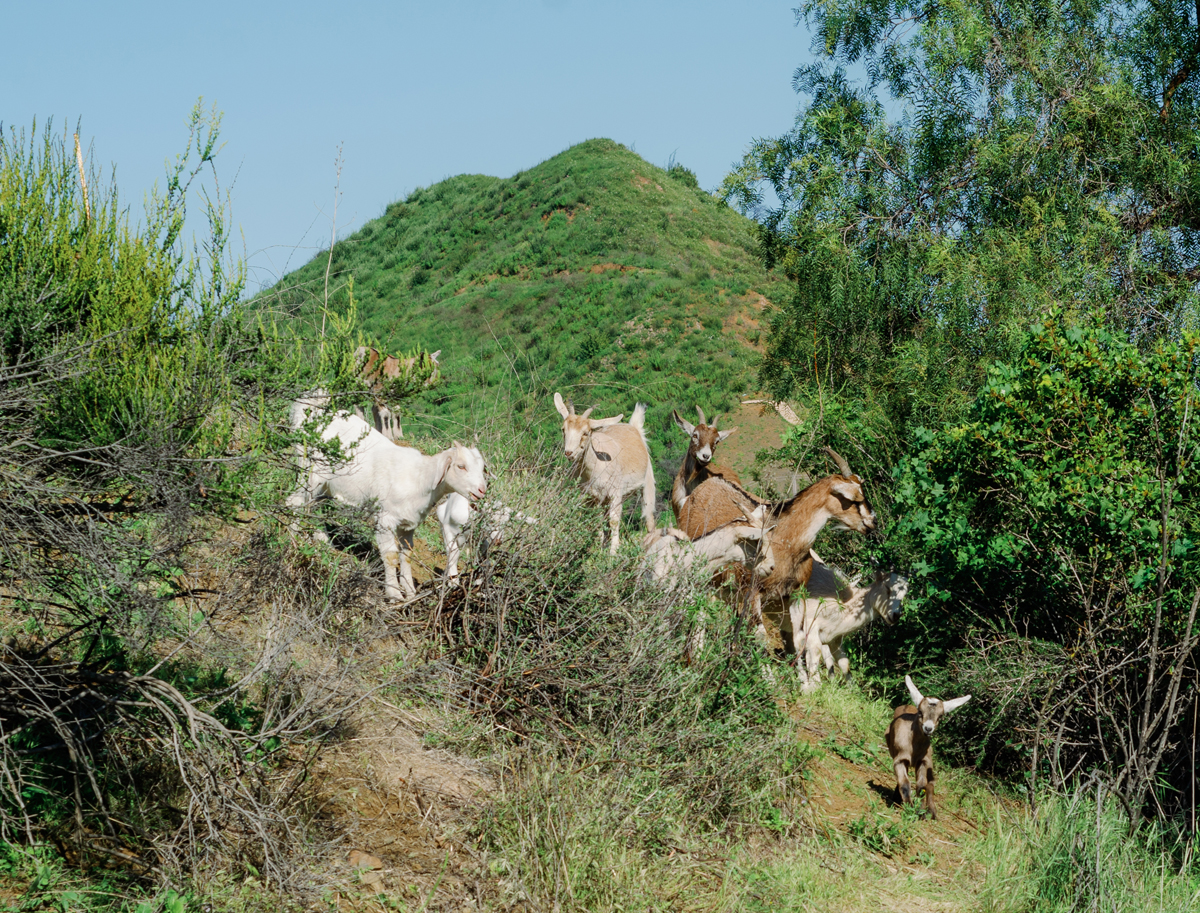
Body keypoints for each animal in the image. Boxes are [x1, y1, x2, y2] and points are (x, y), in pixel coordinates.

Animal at [286, 406, 486, 600]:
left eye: (482, 467)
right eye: (461, 466)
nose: (482, 490)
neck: (420, 478)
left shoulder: (408, 523)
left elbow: (407, 554)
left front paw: (410, 591)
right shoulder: (385, 518)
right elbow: (390, 555)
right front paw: (394, 593)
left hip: (324, 484)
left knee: (313, 506)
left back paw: (323, 541)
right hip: (310, 469)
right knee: (295, 501)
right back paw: (294, 542)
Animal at [553, 392, 656, 554]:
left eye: (586, 433)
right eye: (563, 429)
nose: (569, 453)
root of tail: (634, 428)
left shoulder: (615, 492)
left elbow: (614, 521)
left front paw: (613, 553)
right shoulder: (590, 496)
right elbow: (595, 520)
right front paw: (596, 550)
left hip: (647, 481)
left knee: (648, 514)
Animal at [773, 553, 907, 691]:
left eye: (905, 593)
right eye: (887, 587)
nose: (895, 615)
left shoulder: (834, 638)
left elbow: (843, 663)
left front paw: (851, 689)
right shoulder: (808, 625)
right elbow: (814, 652)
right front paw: (814, 688)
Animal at [885, 675, 971, 819]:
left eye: (940, 716)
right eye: (920, 712)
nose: (928, 728)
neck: (914, 749)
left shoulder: (923, 760)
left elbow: (922, 786)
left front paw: (921, 812)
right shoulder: (899, 759)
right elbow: (904, 783)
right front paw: (909, 807)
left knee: (930, 784)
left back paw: (932, 812)